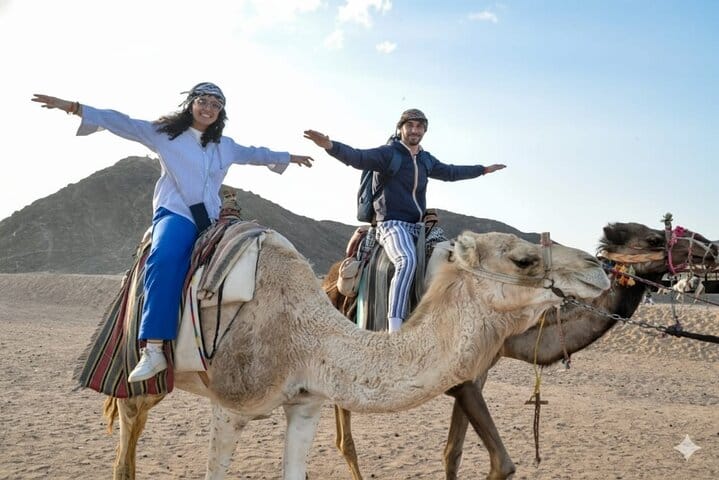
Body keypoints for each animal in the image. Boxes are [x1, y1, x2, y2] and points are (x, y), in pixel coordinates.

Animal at [100, 230, 609, 480]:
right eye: (523, 259)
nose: (598, 267)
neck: (306, 336)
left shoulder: (305, 403)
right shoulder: (231, 405)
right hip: (142, 369)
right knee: (128, 431)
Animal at [323, 221, 719, 480]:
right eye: (655, 237)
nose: (711, 248)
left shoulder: (478, 372)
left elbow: (453, 453)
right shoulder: (457, 373)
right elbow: (502, 464)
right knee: (345, 440)